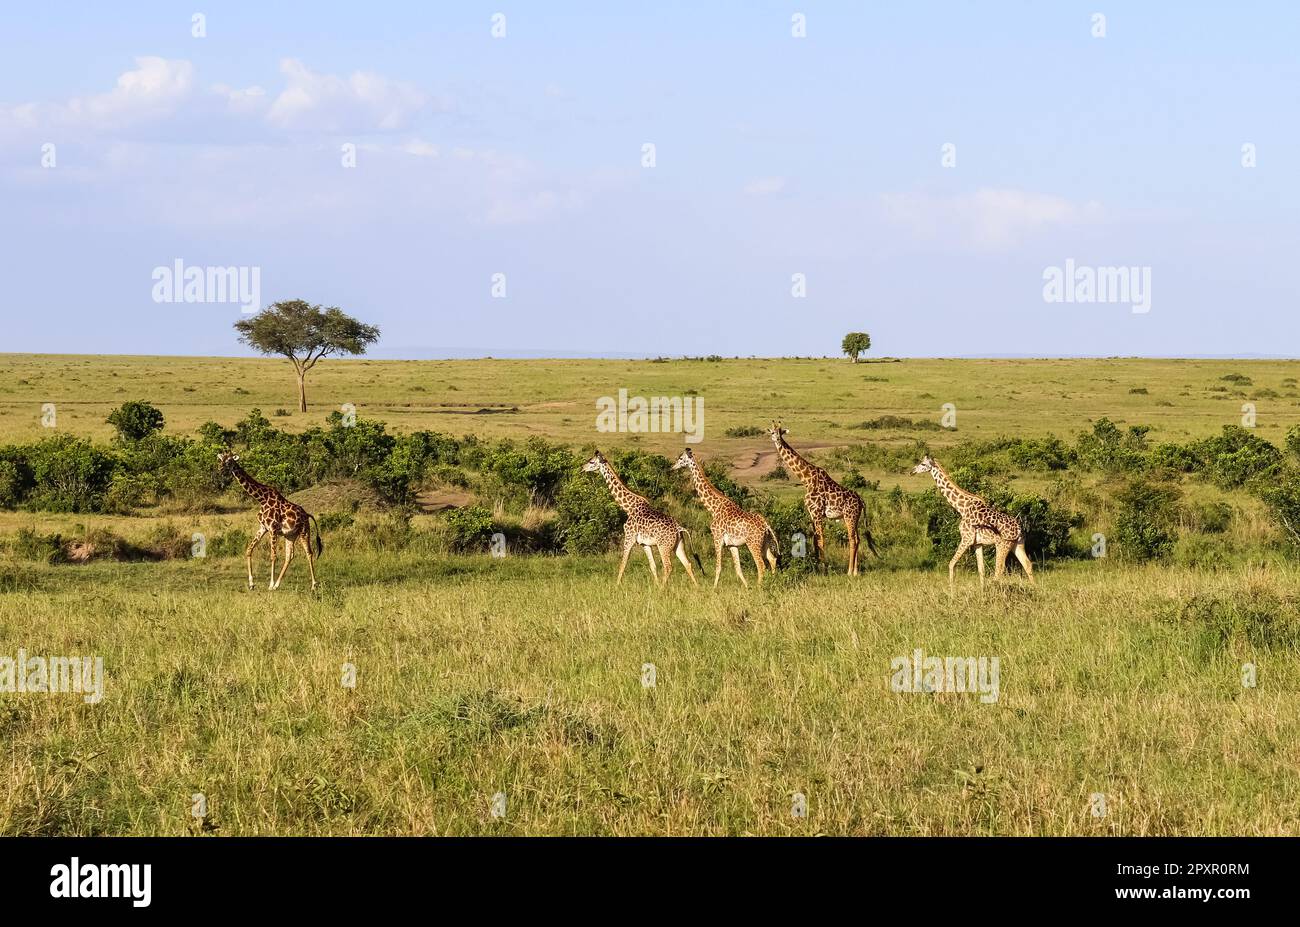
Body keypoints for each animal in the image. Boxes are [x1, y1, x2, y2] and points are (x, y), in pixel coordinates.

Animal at [215, 449, 322, 592]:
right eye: (221, 459)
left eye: (230, 461)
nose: (220, 469)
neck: (261, 499)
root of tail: (307, 514)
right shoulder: (263, 527)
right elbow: (249, 550)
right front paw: (251, 584)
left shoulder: (272, 528)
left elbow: (273, 556)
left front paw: (270, 584)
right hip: (290, 535)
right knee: (289, 556)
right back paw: (277, 585)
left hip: (304, 531)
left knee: (309, 553)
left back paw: (313, 585)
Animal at [582, 447, 696, 585]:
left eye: (592, 462)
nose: (582, 468)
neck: (628, 507)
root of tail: (679, 528)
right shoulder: (644, 544)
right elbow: (652, 566)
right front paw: (655, 585)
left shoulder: (629, 537)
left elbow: (623, 564)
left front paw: (616, 586)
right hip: (678, 545)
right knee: (688, 564)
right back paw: (696, 587)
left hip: (663, 546)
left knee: (668, 567)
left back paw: (663, 588)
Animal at [676, 447, 774, 585]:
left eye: (680, 458)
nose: (673, 466)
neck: (714, 508)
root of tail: (766, 525)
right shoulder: (732, 544)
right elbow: (738, 568)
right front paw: (746, 587)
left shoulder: (717, 538)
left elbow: (718, 567)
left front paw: (714, 588)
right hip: (765, 542)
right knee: (772, 560)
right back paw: (773, 581)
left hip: (753, 543)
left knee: (761, 565)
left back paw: (759, 586)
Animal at [764, 423, 878, 574]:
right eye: (772, 432)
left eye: (780, 432)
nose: (777, 439)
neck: (806, 479)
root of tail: (861, 501)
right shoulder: (812, 514)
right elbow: (814, 540)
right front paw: (816, 567)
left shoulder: (817, 513)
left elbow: (821, 541)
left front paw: (824, 569)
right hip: (854, 517)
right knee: (858, 539)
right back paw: (855, 571)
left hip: (850, 517)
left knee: (852, 539)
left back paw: (849, 572)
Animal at [904, 455, 1034, 585]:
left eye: (923, 464)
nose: (912, 471)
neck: (962, 507)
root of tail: (1019, 529)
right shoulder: (978, 543)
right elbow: (981, 570)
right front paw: (982, 589)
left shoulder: (966, 538)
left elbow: (951, 563)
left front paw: (951, 587)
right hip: (1017, 544)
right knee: (1027, 565)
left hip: (1003, 544)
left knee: (999, 569)